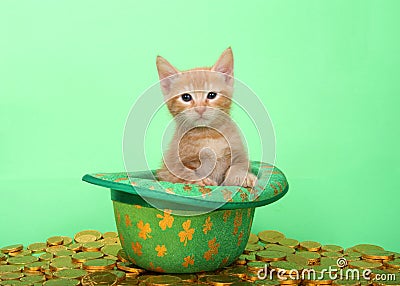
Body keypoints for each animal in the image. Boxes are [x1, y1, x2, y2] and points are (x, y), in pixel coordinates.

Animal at [155, 48, 256, 188]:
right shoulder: (168, 169)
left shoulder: (238, 152)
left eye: (212, 95)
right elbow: (183, 174)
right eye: (186, 97)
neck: (208, 135)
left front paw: (242, 176)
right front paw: (200, 180)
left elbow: (238, 165)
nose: (200, 109)